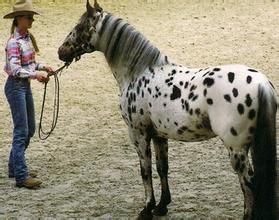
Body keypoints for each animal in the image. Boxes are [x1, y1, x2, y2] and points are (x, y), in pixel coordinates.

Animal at [58, 0, 278, 219]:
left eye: (80, 27)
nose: (61, 52)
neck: (139, 72)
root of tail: (261, 84)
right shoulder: (158, 135)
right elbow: (162, 167)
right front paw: (162, 206)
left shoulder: (138, 134)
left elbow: (145, 171)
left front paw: (147, 209)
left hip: (236, 148)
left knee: (249, 184)